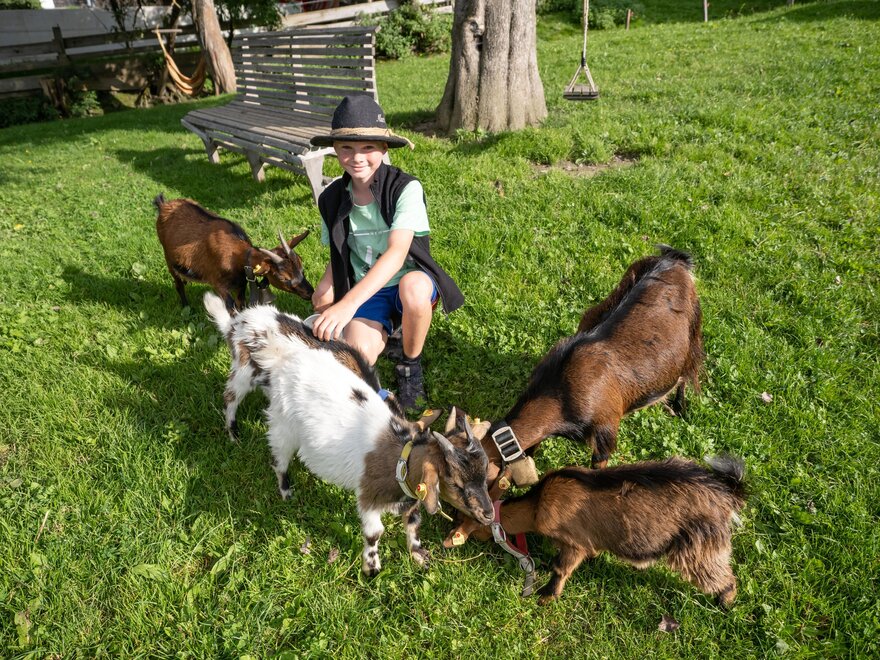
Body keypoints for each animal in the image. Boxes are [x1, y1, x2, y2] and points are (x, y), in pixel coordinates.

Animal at [153, 194, 314, 311]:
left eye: (302, 268)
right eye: (282, 277)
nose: (310, 292)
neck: (238, 258)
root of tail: (163, 204)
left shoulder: (241, 284)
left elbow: (241, 304)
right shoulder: (219, 284)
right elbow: (232, 310)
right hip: (168, 258)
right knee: (178, 284)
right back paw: (187, 307)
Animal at [204, 292, 495, 575]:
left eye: (485, 474)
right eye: (455, 482)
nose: (489, 514)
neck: (400, 458)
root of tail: (237, 322)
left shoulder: (413, 498)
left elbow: (413, 525)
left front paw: (419, 557)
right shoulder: (368, 498)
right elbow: (375, 533)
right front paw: (371, 568)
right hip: (266, 401)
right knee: (252, 424)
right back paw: (261, 463)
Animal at [446, 246, 704, 547]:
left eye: (472, 485)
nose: (454, 529)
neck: (561, 392)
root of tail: (674, 258)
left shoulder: (606, 428)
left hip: (693, 334)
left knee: (688, 373)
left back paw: (679, 407)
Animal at [497, 456, 746, 607]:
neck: (536, 505)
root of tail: (726, 495)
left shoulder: (573, 543)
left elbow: (561, 568)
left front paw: (547, 596)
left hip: (698, 547)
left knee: (718, 574)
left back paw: (726, 600)